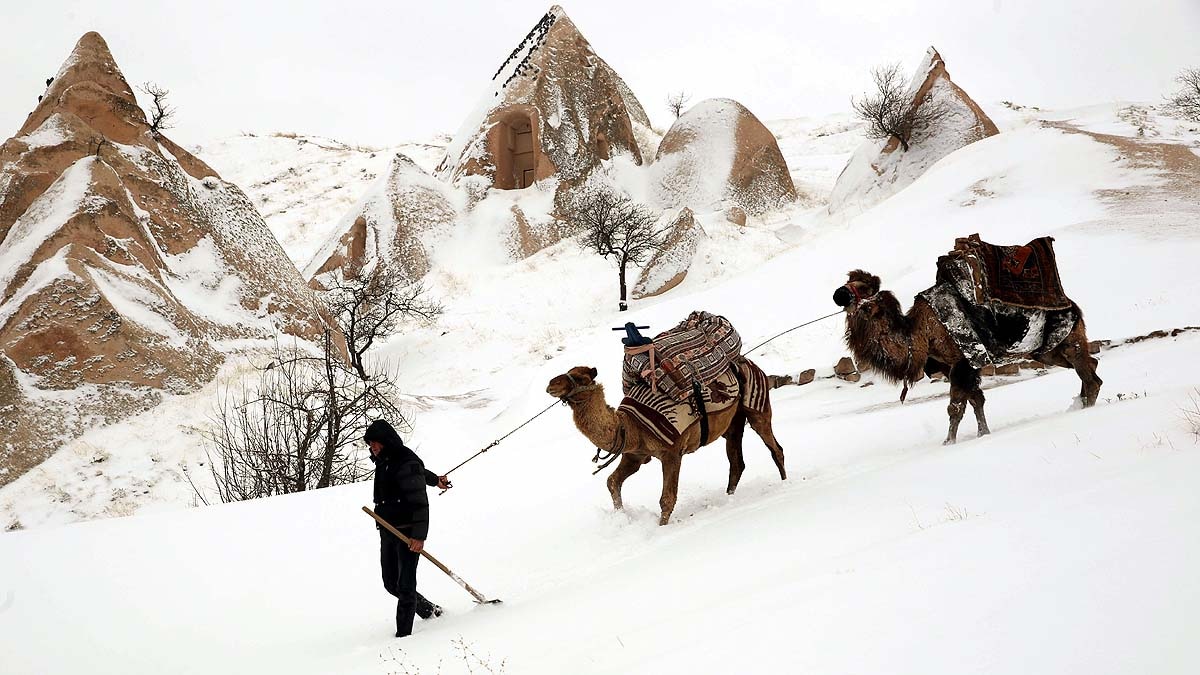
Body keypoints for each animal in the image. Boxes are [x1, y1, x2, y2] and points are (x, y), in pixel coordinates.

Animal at [546, 365, 786, 525]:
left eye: (579, 377)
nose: (551, 384)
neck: (629, 427)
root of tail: (748, 363)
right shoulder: (634, 455)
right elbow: (612, 481)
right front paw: (621, 517)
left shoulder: (672, 453)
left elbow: (667, 499)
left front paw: (661, 529)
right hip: (733, 424)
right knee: (737, 462)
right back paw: (730, 498)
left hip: (756, 403)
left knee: (775, 448)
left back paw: (785, 485)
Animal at [833, 269, 1101, 444]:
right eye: (849, 280)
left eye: (862, 287)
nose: (838, 294)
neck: (920, 335)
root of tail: (1073, 305)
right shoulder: (954, 365)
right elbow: (975, 401)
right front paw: (983, 433)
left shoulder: (963, 362)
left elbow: (955, 407)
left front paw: (948, 443)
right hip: (1048, 351)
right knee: (1090, 365)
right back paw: (1080, 404)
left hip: (1066, 340)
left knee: (1088, 374)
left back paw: (1087, 408)